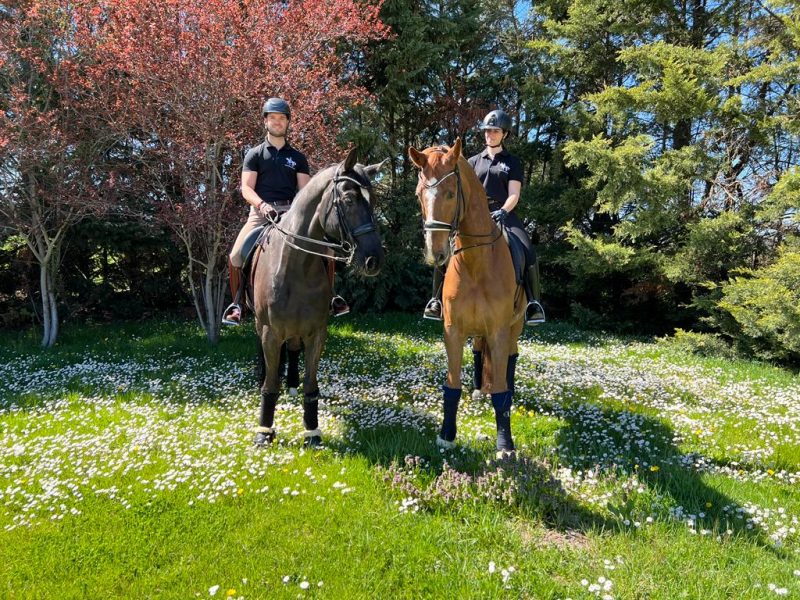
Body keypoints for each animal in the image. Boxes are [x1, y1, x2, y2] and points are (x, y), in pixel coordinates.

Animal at [252, 147, 385, 447]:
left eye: (373, 201)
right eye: (348, 199)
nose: (373, 260)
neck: (295, 266)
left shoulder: (316, 333)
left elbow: (311, 385)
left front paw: (312, 431)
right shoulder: (270, 332)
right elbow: (270, 386)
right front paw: (264, 431)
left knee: (291, 350)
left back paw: (291, 385)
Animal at [408, 138, 525, 458]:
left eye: (450, 193)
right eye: (419, 195)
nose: (436, 253)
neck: (476, 262)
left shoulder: (499, 331)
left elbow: (501, 393)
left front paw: (505, 445)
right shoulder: (453, 330)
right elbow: (451, 387)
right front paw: (447, 435)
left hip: (515, 327)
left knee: (510, 360)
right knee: (478, 353)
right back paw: (478, 389)